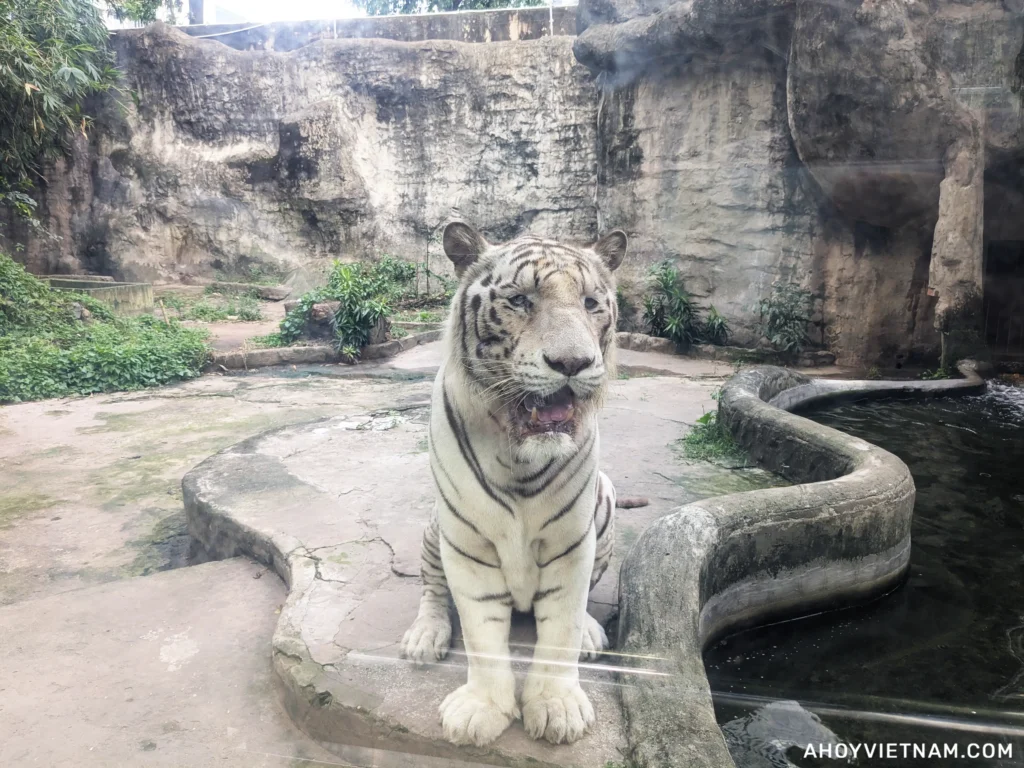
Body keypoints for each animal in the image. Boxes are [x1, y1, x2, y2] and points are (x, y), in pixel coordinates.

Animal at [401, 220, 627, 748]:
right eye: (521, 300)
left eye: (591, 303)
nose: (573, 363)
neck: (520, 456)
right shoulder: (469, 543)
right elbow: (482, 631)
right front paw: (481, 710)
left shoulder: (572, 541)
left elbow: (562, 627)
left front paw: (558, 707)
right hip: (435, 526)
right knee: (431, 589)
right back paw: (425, 637)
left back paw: (591, 633)